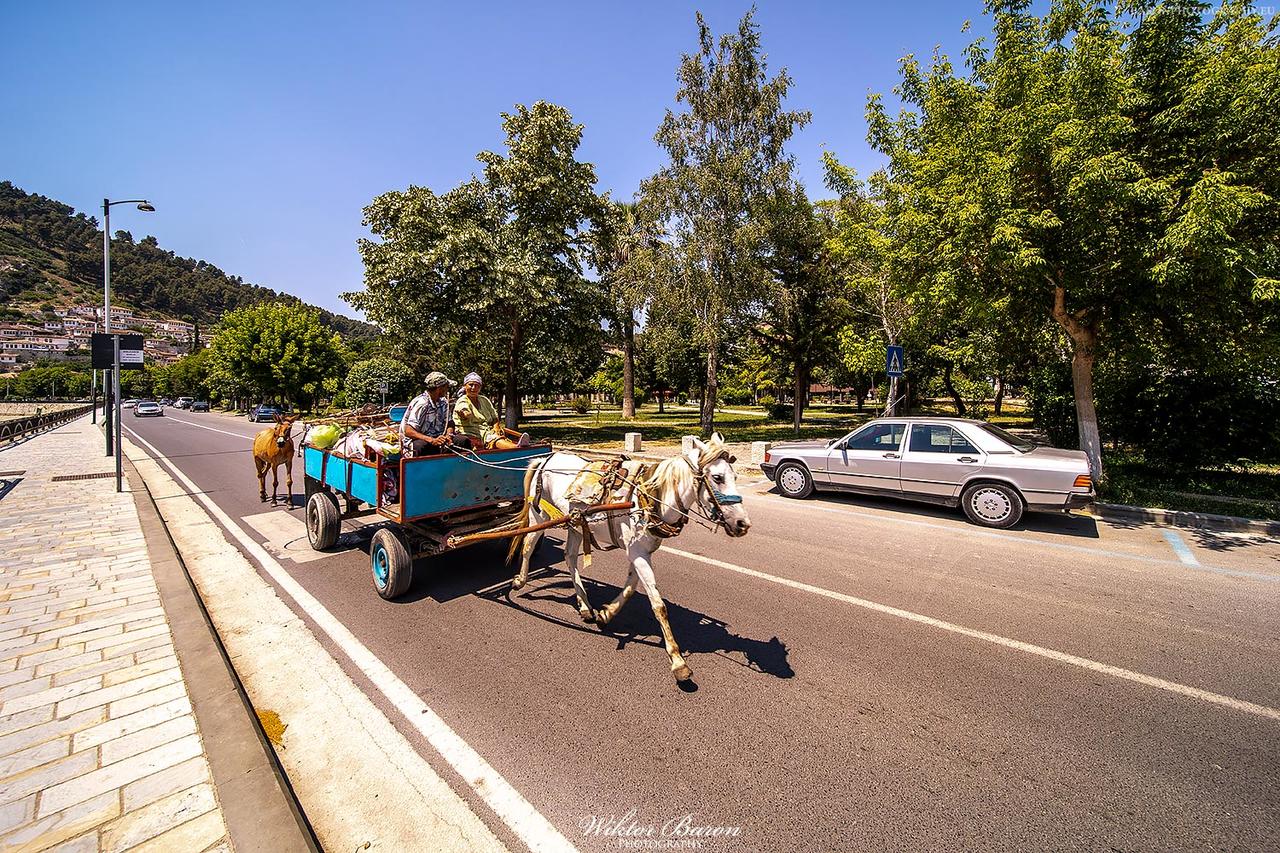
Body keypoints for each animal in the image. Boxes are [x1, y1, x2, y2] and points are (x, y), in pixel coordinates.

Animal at [504, 435, 747, 681]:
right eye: (717, 478)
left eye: (735, 477)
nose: (743, 524)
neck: (649, 499)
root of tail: (545, 458)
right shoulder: (638, 553)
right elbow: (658, 605)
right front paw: (677, 660)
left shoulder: (639, 551)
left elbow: (630, 587)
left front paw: (606, 614)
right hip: (540, 515)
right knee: (528, 545)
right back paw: (520, 581)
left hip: (576, 523)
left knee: (570, 557)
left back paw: (585, 605)